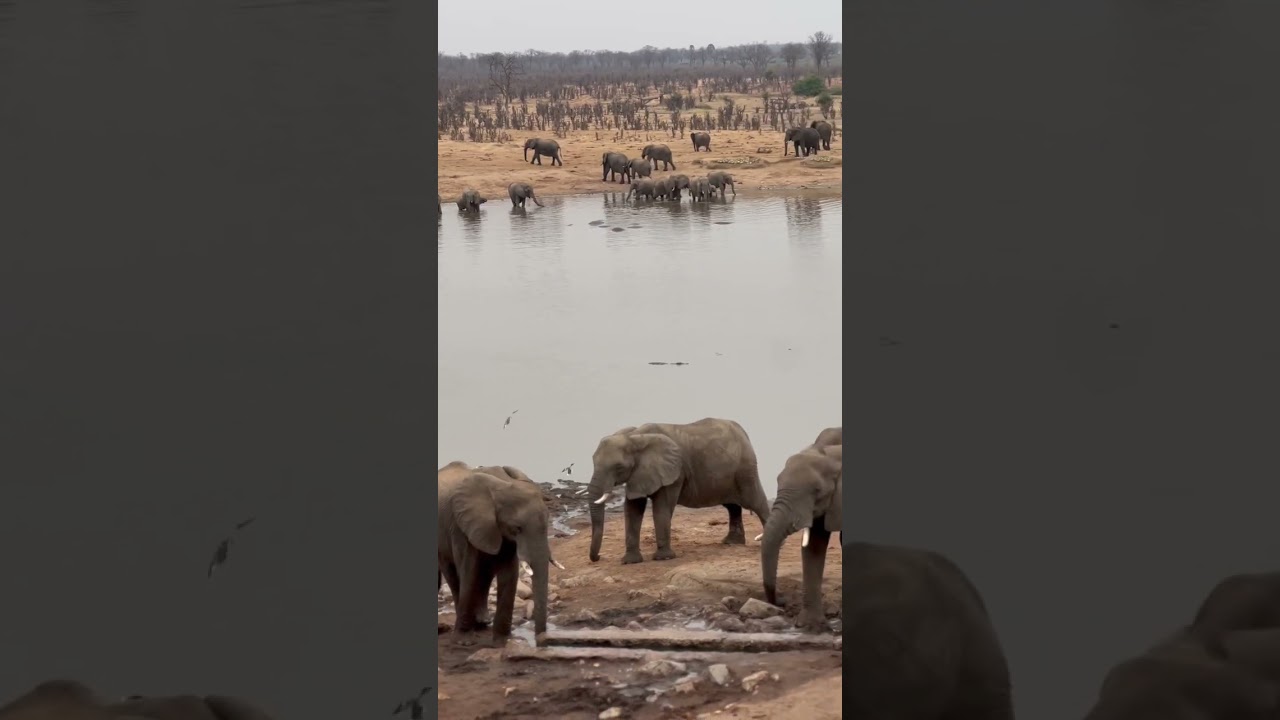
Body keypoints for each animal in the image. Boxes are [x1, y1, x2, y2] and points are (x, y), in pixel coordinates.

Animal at [437, 464, 553, 643]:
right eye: (517, 528)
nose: (541, 640)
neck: (501, 484)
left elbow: (509, 574)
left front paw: (502, 640)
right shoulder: (461, 527)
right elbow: (469, 572)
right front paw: (464, 641)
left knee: (485, 575)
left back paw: (483, 621)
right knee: (453, 574)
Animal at [585, 418, 771, 565]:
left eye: (618, 467)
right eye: (593, 461)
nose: (598, 558)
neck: (635, 437)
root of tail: (742, 430)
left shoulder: (675, 472)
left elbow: (662, 508)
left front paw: (664, 558)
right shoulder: (638, 474)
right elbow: (632, 509)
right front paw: (630, 562)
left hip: (745, 469)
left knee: (756, 502)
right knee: (732, 506)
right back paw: (731, 543)